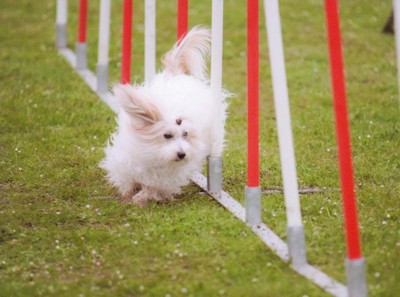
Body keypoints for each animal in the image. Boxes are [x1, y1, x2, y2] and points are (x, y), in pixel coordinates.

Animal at [101, 26, 228, 205]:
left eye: (186, 134)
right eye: (167, 136)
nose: (182, 154)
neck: (155, 153)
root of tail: (176, 76)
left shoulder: (167, 176)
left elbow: (153, 187)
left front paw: (142, 197)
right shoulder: (126, 160)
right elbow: (127, 180)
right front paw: (128, 194)